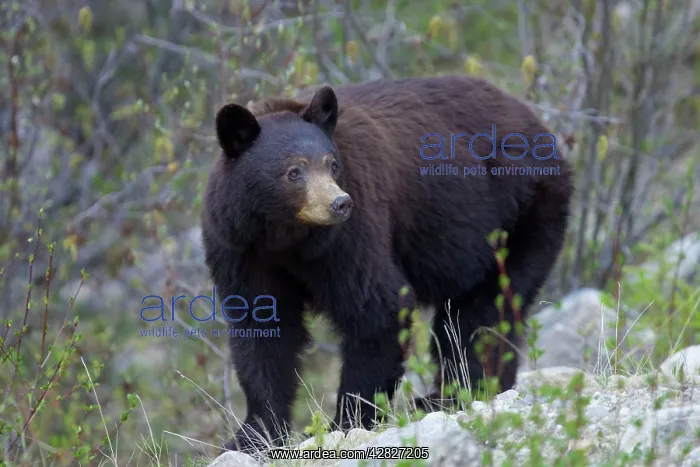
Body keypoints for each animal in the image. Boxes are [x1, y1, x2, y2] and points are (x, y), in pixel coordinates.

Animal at [200, 74, 573, 453]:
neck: (286, 238)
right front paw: (253, 434)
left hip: (522, 216)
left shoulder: (350, 236)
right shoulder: (240, 248)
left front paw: (347, 421)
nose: (339, 203)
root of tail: (541, 128)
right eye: (294, 171)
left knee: (482, 315)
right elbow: (264, 328)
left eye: (332, 164)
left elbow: (377, 311)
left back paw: (454, 395)